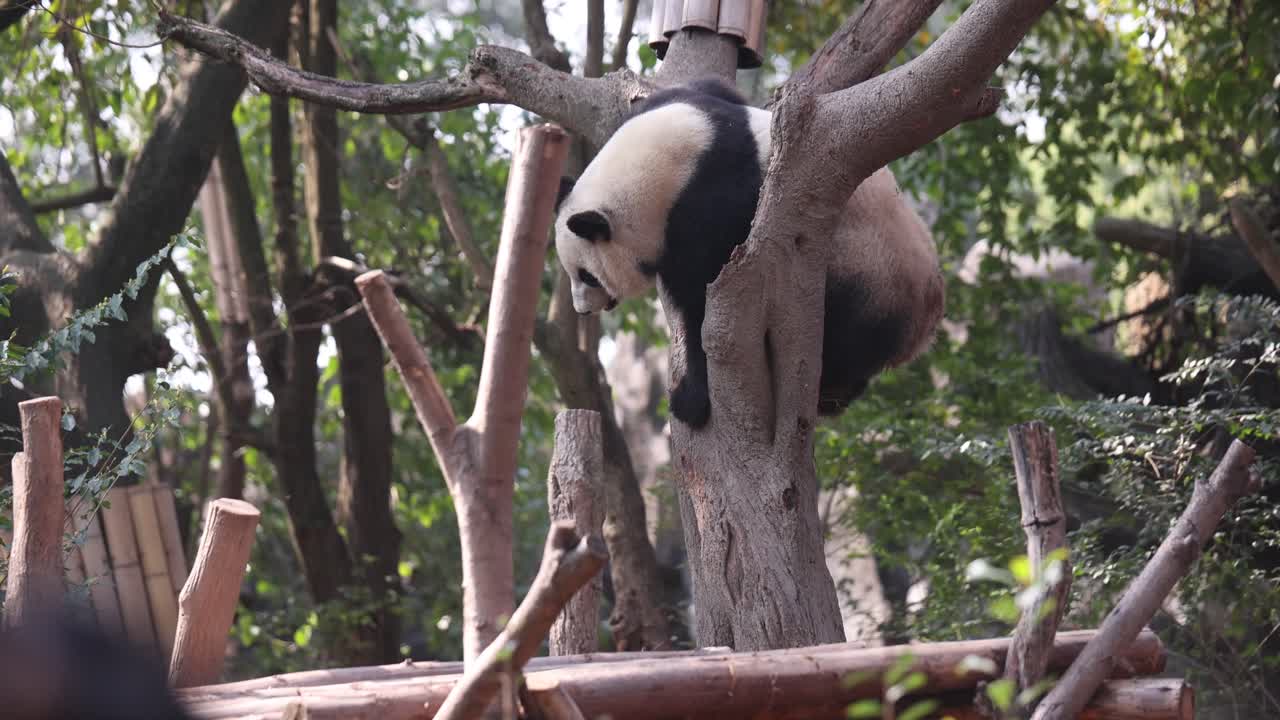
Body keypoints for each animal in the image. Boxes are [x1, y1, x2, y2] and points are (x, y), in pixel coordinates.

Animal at [554, 78, 944, 429]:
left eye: (587, 275)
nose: (582, 308)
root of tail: (927, 322)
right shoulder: (694, 100)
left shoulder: (711, 208)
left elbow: (703, 308)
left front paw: (689, 400)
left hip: (866, 270)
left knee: (845, 336)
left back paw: (829, 391)